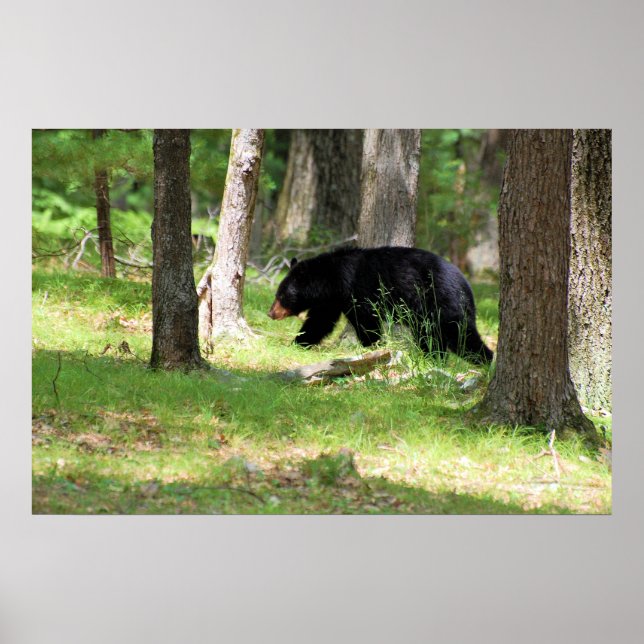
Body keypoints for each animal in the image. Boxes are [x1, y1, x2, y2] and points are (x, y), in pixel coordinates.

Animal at [268, 246, 493, 364]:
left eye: (282, 295)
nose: (271, 313)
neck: (333, 279)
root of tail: (466, 285)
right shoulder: (333, 300)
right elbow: (319, 322)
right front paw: (298, 342)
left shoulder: (359, 290)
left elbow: (367, 322)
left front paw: (373, 347)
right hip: (428, 317)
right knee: (432, 337)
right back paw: (433, 358)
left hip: (443, 302)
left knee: (461, 335)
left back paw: (486, 360)